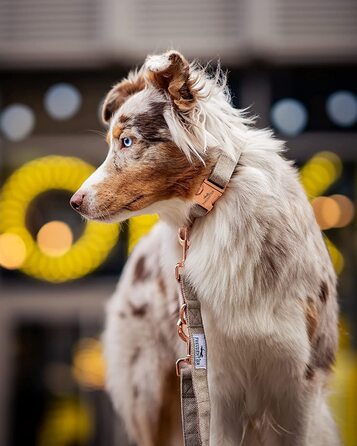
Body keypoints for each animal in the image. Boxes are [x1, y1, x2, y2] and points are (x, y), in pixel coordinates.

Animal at [70, 50, 340, 444]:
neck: (218, 209)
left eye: (127, 142)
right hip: (150, 390)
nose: (74, 202)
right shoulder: (218, 380)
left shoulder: (297, 381)